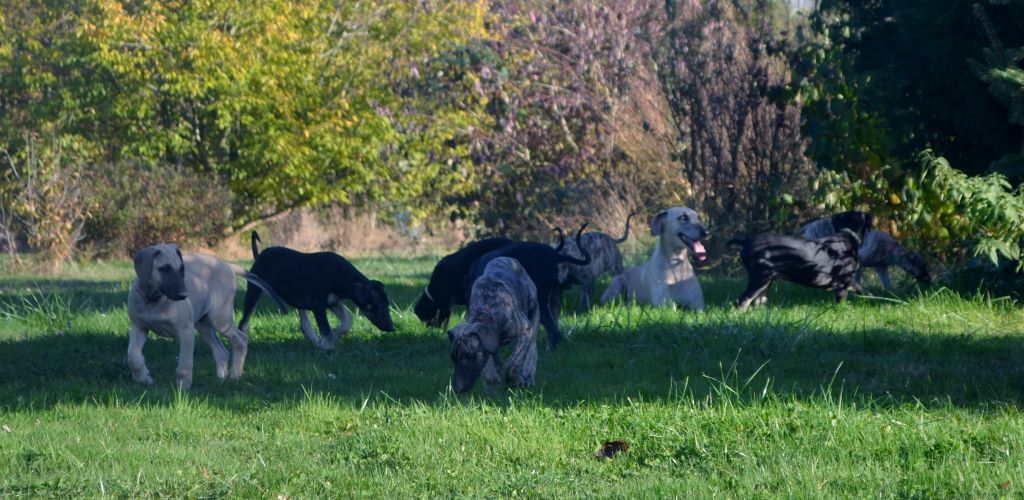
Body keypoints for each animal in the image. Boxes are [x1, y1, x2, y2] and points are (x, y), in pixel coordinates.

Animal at [237, 232, 393, 350]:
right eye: (380, 306)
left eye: (388, 305)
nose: (392, 328)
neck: (341, 275)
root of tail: (258, 256)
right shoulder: (319, 306)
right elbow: (326, 329)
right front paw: (329, 349)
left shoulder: (332, 303)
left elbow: (347, 320)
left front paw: (333, 336)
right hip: (254, 291)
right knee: (243, 323)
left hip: (299, 301)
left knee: (305, 325)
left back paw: (317, 343)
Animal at [450, 258, 544, 395]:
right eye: (452, 357)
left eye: (469, 355)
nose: (457, 389)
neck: (486, 312)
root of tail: (509, 258)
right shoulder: (487, 344)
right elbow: (489, 363)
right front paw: (492, 383)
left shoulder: (526, 329)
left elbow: (515, 359)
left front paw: (513, 379)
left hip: (534, 310)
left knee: (532, 347)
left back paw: (528, 374)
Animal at [729, 210, 872, 309]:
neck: (847, 236)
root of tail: (744, 242)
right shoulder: (841, 281)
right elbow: (841, 300)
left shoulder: (848, 279)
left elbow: (860, 288)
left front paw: (869, 298)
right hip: (760, 277)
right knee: (743, 300)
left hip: (766, 281)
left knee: (758, 301)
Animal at [794, 217, 933, 290]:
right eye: (921, 267)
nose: (930, 281)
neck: (890, 249)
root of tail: (809, 226)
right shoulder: (859, 261)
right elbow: (857, 277)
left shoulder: (881, 268)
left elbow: (886, 282)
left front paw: (891, 292)